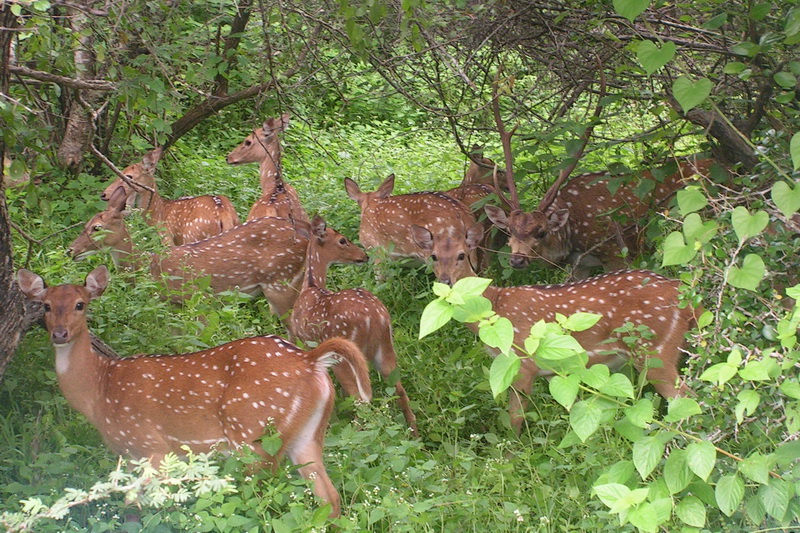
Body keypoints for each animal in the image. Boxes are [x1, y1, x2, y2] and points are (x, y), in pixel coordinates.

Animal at [15, 264, 372, 516]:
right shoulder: (129, 455)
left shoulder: (150, 446)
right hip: (308, 434)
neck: (100, 390)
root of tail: (311, 361)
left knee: (264, 500)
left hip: (255, 437)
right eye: (46, 306)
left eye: (80, 304)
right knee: (329, 497)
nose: (59, 334)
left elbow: (139, 508)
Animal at [99, 145, 239, 245]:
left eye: (129, 176)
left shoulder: (167, 238)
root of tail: (223, 214)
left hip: (193, 236)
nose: (104, 194)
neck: (157, 214)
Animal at [292, 216, 418, 436]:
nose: (364, 255)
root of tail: (375, 317)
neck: (310, 287)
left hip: (345, 357)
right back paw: (415, 436)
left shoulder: (306, 343)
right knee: (400, 390)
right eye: (342, 240)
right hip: (385, 349)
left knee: (361, 399)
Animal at [422, 222, 696, 434]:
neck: (495, 307)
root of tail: (686, 297)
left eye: (461, 255)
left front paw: (512, 456)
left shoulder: (522, 361)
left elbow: (516, 417)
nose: (446, 281)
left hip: (654, 350)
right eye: (433, 256)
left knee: (687, 398)